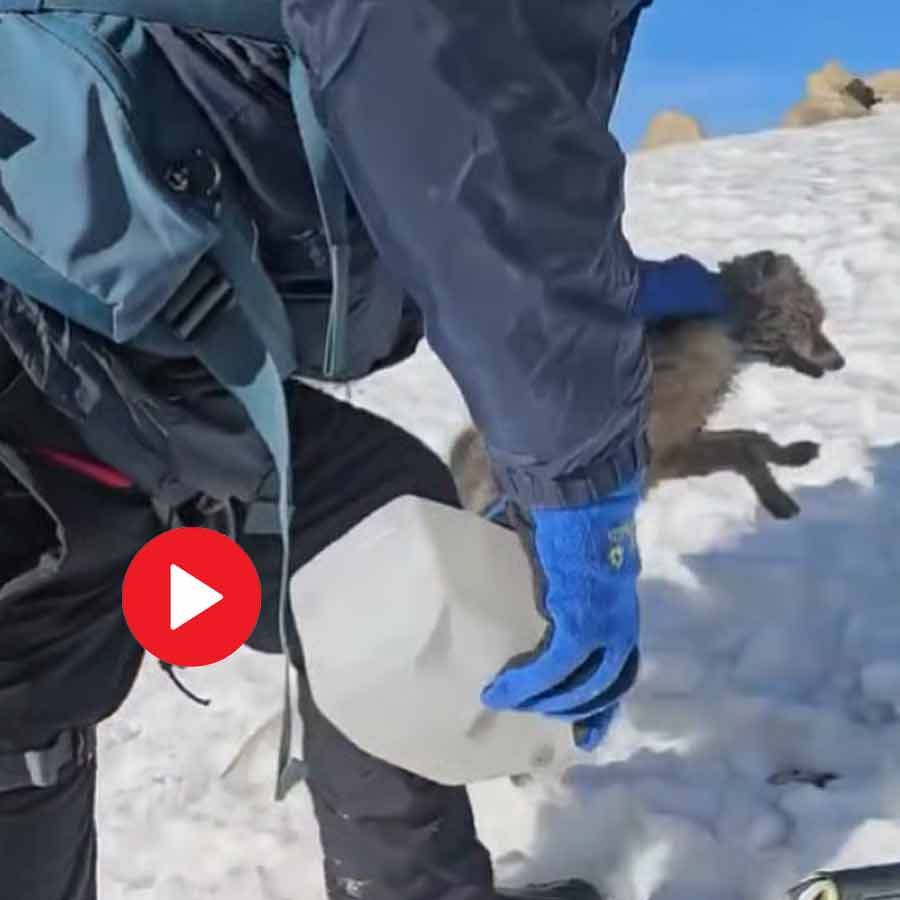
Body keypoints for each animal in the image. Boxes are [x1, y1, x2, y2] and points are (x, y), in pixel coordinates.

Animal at [450, 251, 845, 521]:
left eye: (820, 319)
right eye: (806, 318)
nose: (840, 361)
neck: (725, 333)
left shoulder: (687, 436)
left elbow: (753, 438)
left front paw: (792, 453)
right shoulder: (666, 456)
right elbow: (744, 451)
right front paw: (776, 498)